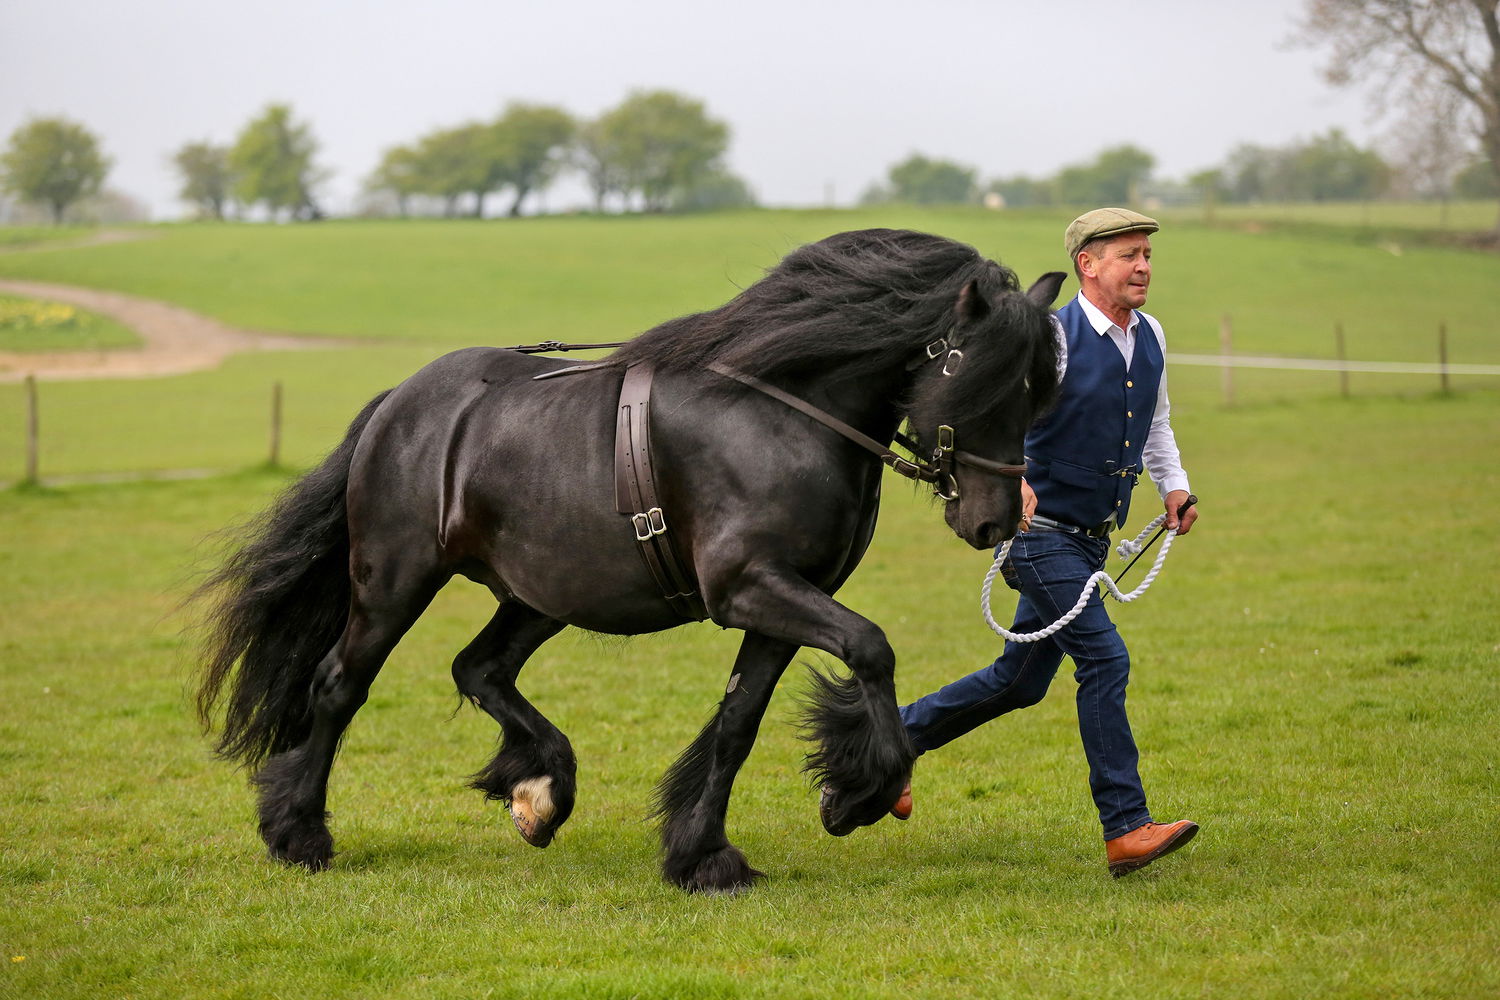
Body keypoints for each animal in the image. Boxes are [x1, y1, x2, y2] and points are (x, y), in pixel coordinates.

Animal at [194, 228, 1065, 894]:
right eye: (981, 381)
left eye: (1038, 391)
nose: (994, 520)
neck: (784, 411)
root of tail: (400, 403)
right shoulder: (751, 587)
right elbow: (871, 648)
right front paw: (861, 793)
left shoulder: (786, 601)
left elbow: (739, 722)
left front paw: (703, 853)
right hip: (394, 580)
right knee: (340, 685)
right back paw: (300, 835)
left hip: (539, 594)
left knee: (479, 668)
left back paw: (541, 790)